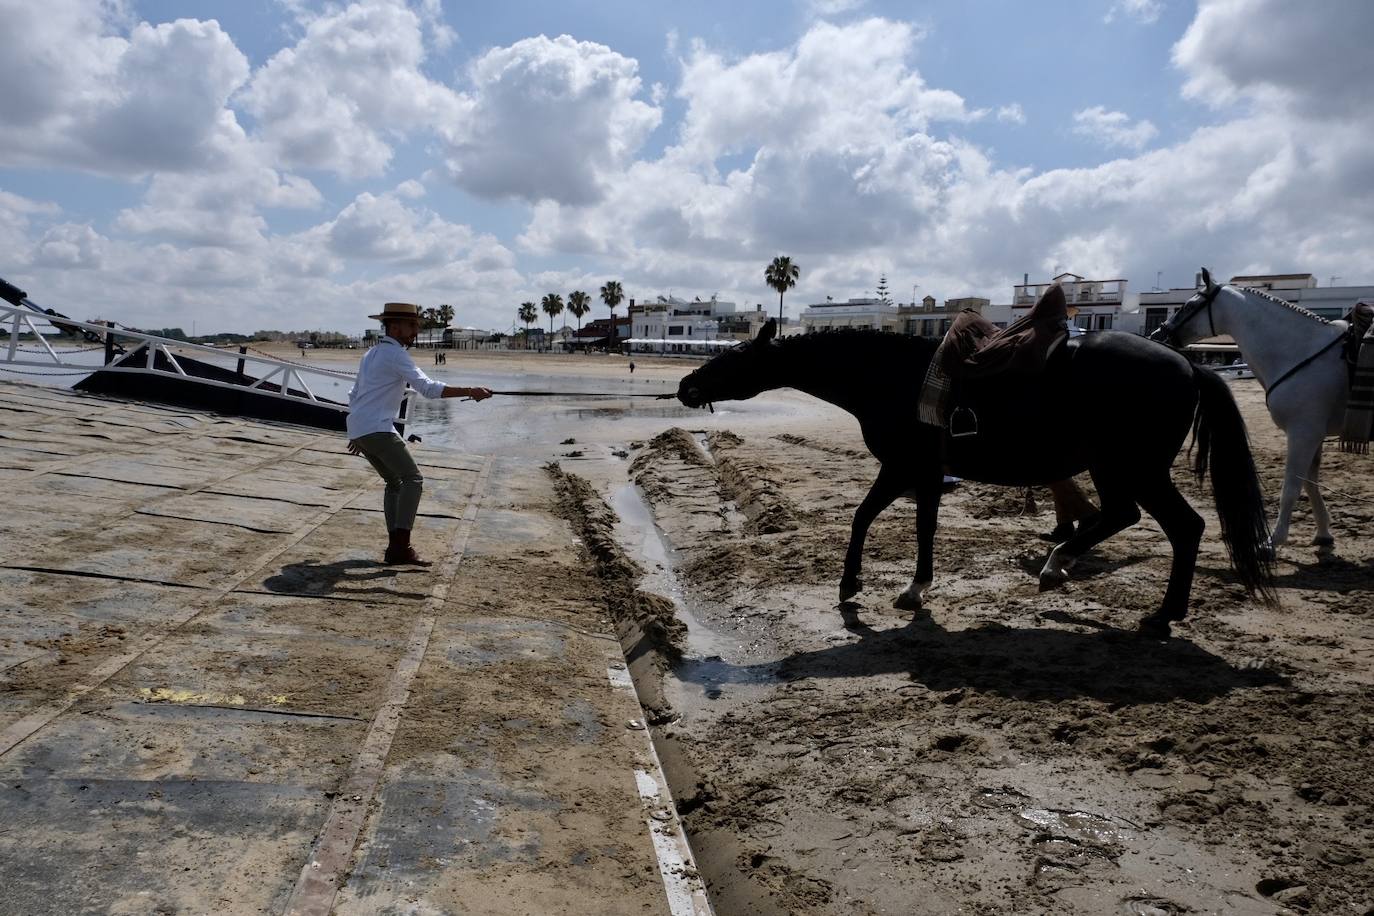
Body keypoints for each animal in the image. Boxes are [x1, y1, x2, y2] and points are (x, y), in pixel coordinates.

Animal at [678, 318, 1275, 634]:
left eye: (732, 358)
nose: (685, 385)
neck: (893, 376)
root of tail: (1188, 363)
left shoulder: (905, 467)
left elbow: (866, 518)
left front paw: (861, 586)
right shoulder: (922, 474)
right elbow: (910, 525)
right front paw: (909, 587)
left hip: (1133, 468)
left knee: (1182, 526)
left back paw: (1155, 609)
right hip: (1116, 469)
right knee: (1126, 516)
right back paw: (1063, 568)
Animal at [1148, 269, 1352, 560]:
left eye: (1187, 306)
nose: (1157, 333)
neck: (1301, 351)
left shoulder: (1304, 432)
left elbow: (1291, 487)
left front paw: (1273, 541)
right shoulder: (1315, 433)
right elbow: (1309, 483)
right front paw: (1324, 534)